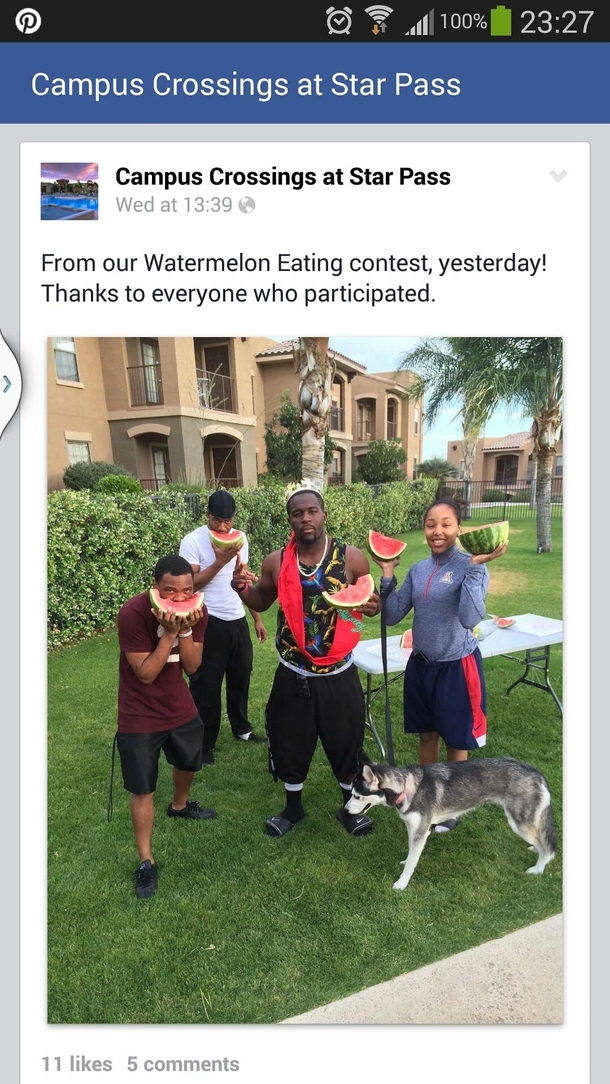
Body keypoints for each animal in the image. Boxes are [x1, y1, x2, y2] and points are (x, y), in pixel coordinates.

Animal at [346, 750, 554, 893]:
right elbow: (410, 853)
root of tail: (535, 771)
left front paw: (402, 883)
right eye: (351, 793)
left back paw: (538, 868)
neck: (406, 786)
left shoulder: (421, 832)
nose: (345, 811)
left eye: (357, 796)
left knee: (547, 848)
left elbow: (412, 863)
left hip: (519, 824)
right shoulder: (413, 829)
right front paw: (405, 860)